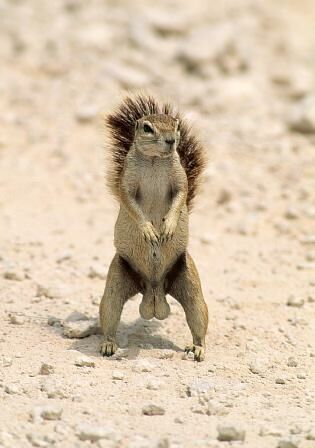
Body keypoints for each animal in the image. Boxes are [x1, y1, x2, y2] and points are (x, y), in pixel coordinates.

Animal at [100, 93, 210, 360]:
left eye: (176, 125)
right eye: (148, 128)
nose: (171, 140)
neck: (154, 161)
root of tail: (153, 290)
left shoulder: (180, 179)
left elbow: (181, 196)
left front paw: (167, 226)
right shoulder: (127, 183)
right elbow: (130, 202)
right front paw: (149, 230)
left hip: (189, 282)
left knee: (197, 317)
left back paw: (198, 348)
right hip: (116, 281)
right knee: (110, 313)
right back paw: (108, 345)